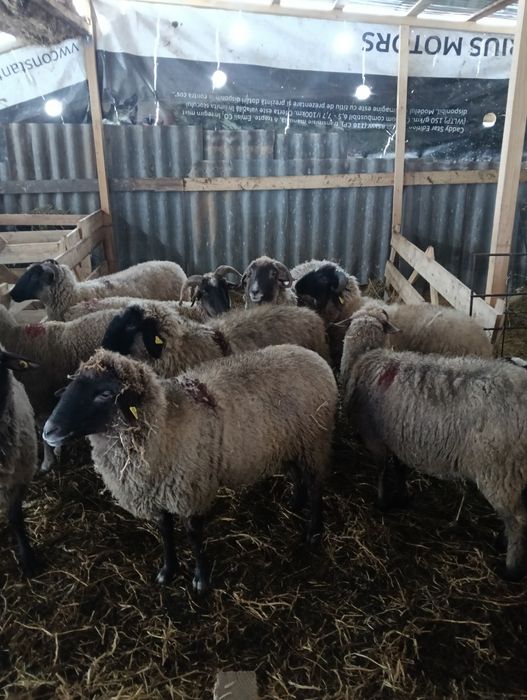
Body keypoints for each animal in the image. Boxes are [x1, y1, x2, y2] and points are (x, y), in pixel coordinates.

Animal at [43, 344, 338, 591]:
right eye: (70, 388)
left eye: (104, 393)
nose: (48, 431)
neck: (165, 422)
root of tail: (311, 355)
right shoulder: (158, 494)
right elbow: (165, 531)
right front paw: (167, 570)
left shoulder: (190, 490)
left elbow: (194, 536)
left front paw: (201, 580)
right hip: (288, 442)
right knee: (296, 473)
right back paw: (295, 503)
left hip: (315, 442)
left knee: (315, 485)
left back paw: (313, 531)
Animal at [340, 305, 527, 581]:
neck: (365, 357)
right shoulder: (399, 438)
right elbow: (400, 469)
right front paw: (403, 496)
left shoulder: (375, 438)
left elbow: (382, 470)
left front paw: (382, 502)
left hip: (500, 472)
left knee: (518, 521)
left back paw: (511, 567)